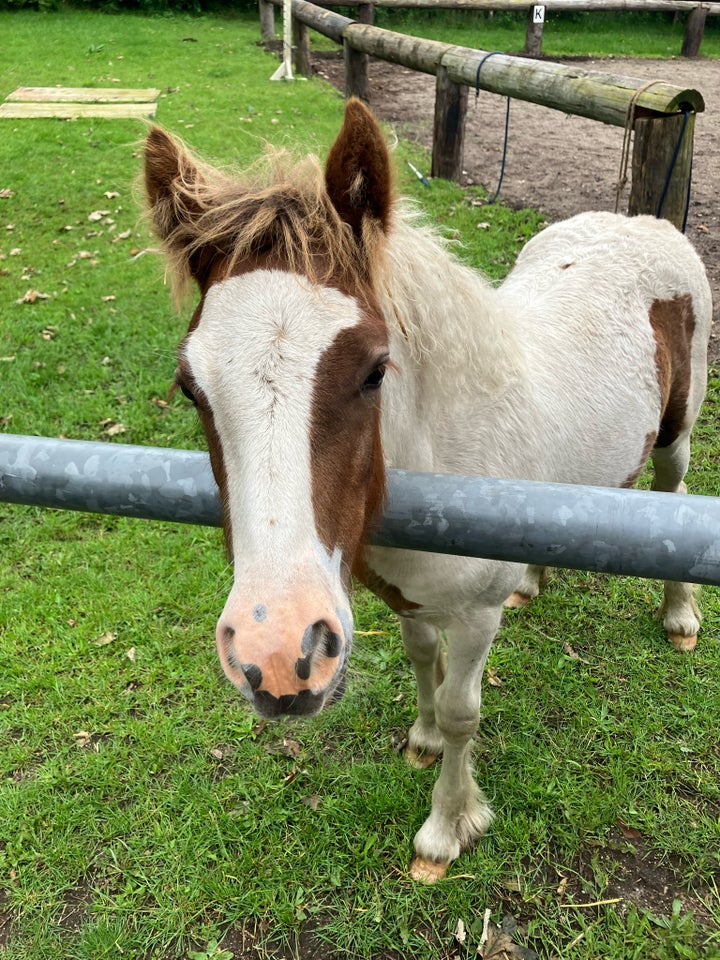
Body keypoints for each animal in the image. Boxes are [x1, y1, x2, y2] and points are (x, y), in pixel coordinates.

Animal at [143, 99, 712, 884]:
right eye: (190, 385)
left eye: (375, 370)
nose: (278, 656)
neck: (446, 458)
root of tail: (642, 221)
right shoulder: (402, 600)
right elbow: (422, 665)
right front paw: (420, 739)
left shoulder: (475, 619)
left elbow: (461, 710)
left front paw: (446, 829)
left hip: (677, 432)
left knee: (673, 486)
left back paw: (680, 616)